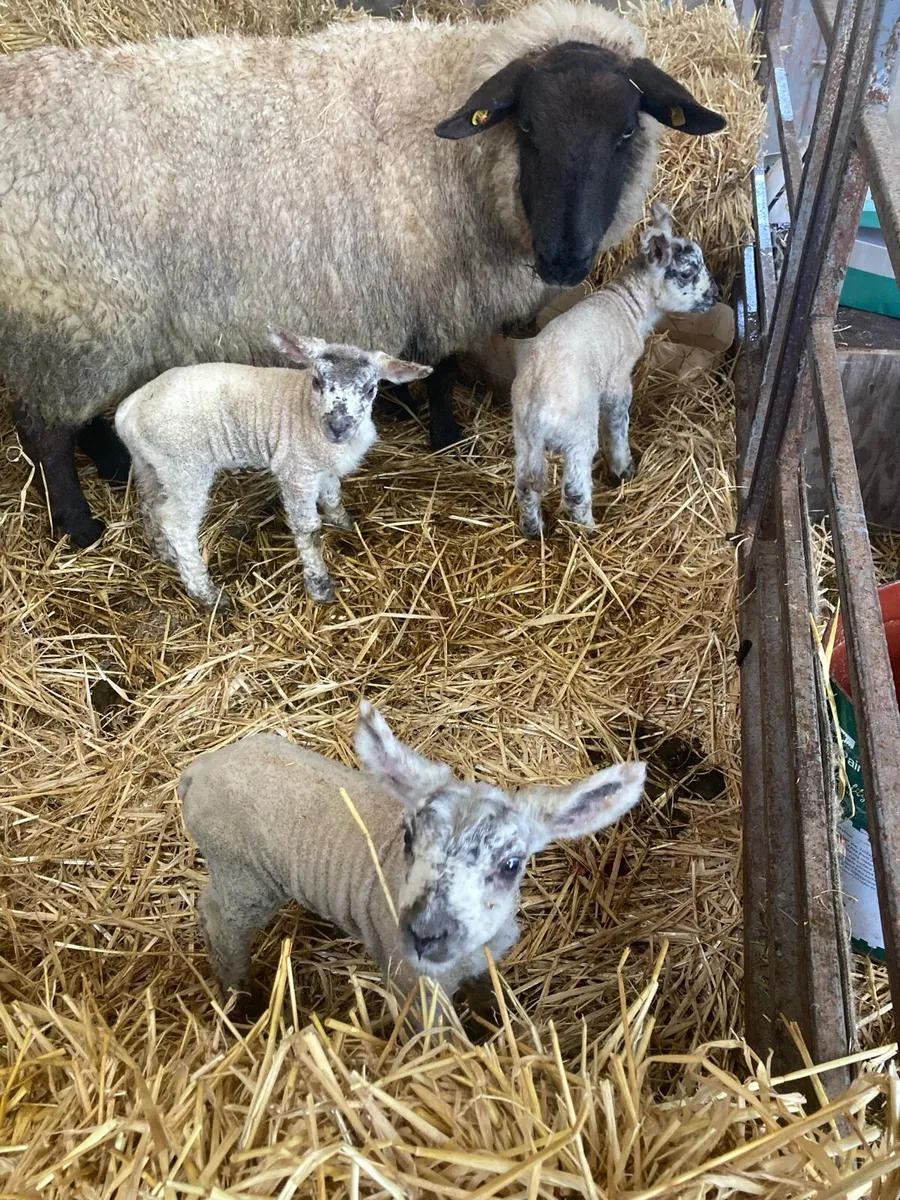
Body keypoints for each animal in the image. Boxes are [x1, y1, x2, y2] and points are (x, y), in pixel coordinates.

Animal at [113, 330, 431, 609]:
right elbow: (308, 530)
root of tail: (128, 411)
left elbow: (333, 496)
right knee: (177, 523)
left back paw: (164, 553)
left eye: (370, 389)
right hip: (186, 466)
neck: (307, 411)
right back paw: (207, 594)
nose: (338, 427)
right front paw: (319, 586)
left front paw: (344, 524)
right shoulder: (296, 470)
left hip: (150, 464)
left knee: (151, 505)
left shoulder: (322, 468)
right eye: (317, 381)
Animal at [178, 701, 647, 1022]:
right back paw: (240, 999)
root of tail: (198, 770)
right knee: (219, 920)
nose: (425, 935)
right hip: (243, 874)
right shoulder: (416, 987)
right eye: (408, 838)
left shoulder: (483, 963)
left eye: (511, 864)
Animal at [510, 203, 718, 538]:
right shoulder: (618, 381)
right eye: (687, 273)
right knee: (574, 489)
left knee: (525, 485)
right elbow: (618, 424)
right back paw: (588, 530)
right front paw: (624, 468)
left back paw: (534, 531)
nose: (716, 294)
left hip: (523, 437)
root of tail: (537, 408)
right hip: (577, 432)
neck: (629, 304)